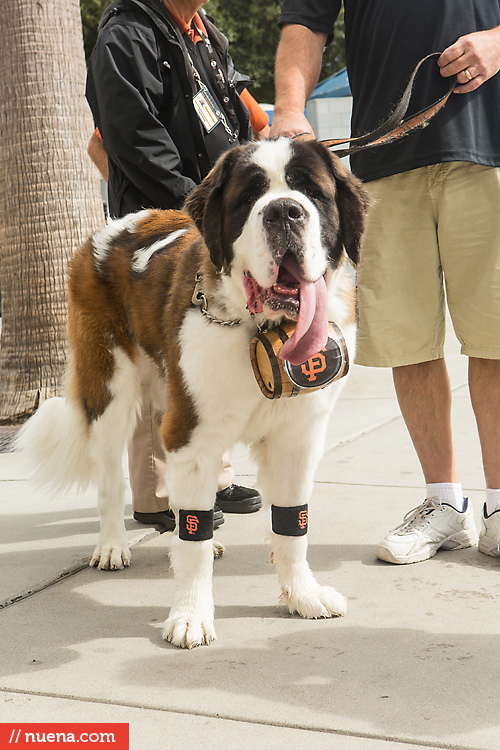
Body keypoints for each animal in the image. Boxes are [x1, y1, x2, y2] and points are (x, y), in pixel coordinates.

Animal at [17, 138, 370, 648]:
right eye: (249, 197)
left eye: (312, 193)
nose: (284, 211)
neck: (256, 328)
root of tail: (117, 224)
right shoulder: (194, 436)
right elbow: (193, 543)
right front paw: (190, 615)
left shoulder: (298, 438)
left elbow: (292, 525)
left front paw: (302, 595)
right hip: (110, 389)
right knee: (110, 479)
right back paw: (111, 545)